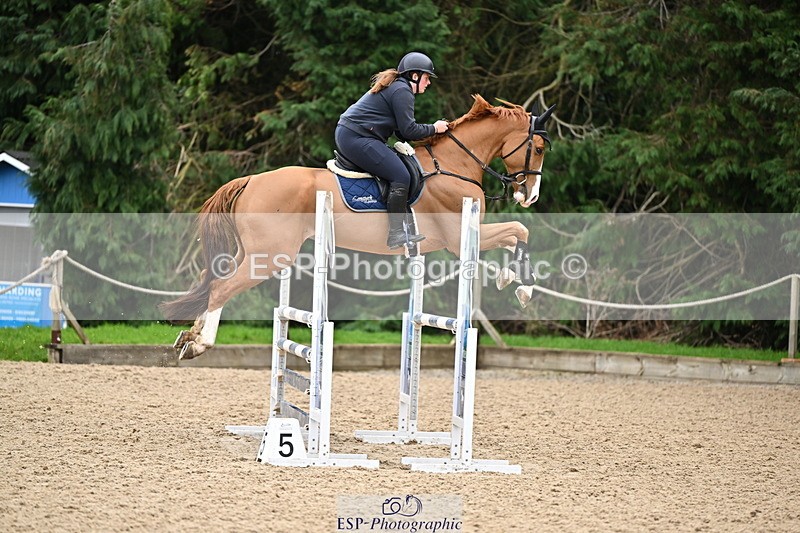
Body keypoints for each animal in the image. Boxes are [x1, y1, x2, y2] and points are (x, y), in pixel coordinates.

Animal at [162, 94, 555, 360]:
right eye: (537, 147)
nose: (531, 196)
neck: (454, 164)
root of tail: (251, 181)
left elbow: (516, 235)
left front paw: (510, 279)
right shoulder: (460, 239)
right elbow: (520, 230)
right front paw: (522, 287)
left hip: (253, 251)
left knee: (215, 281)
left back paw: (189, 336)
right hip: (271, 256)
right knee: (221, 288)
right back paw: (201, 343)